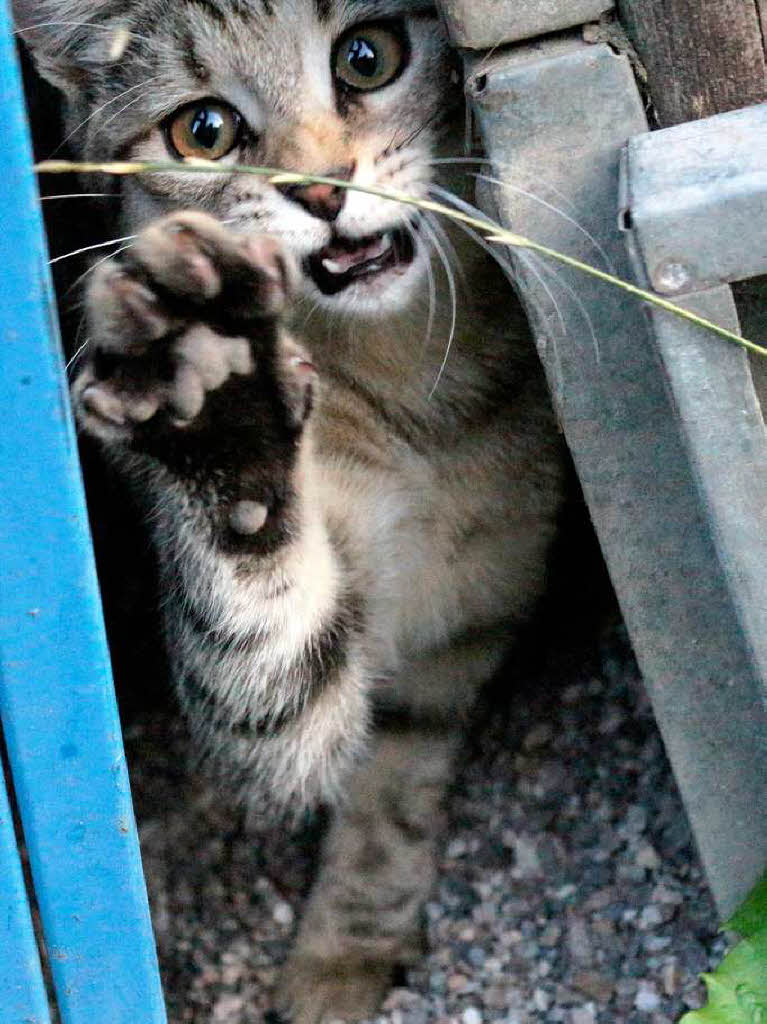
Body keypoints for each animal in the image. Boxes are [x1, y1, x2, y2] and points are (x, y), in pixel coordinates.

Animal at [16, 4, 569, 1019]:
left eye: (368, 55)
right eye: (203, 131)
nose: (320, 189)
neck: (411, 388)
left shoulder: (466, 620)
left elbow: (394, 793)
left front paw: (350, 942)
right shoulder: (277, 703)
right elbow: (269, 672)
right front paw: (218, 401)